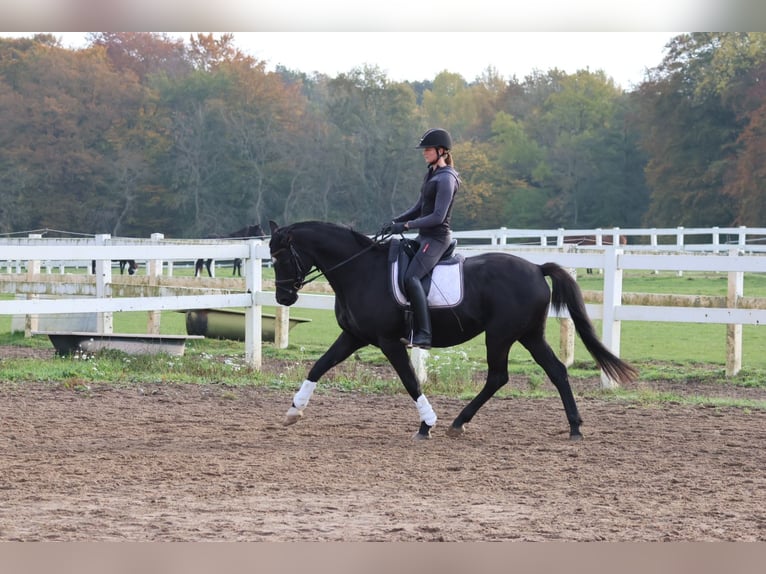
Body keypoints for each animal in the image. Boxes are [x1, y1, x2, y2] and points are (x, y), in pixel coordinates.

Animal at [268, 220, 640, 440]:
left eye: (281, 257)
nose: (284, 297)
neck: (360, 270)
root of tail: (536, 267)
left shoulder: (389, 341)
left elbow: (410, 381)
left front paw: (426, 424)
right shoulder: (354, 336)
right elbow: (319, 366)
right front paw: (292, 412)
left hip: (500, 335)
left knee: (499, 377)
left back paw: (458, 422)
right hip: (529, 335)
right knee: (557, 371)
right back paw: (574, 427)